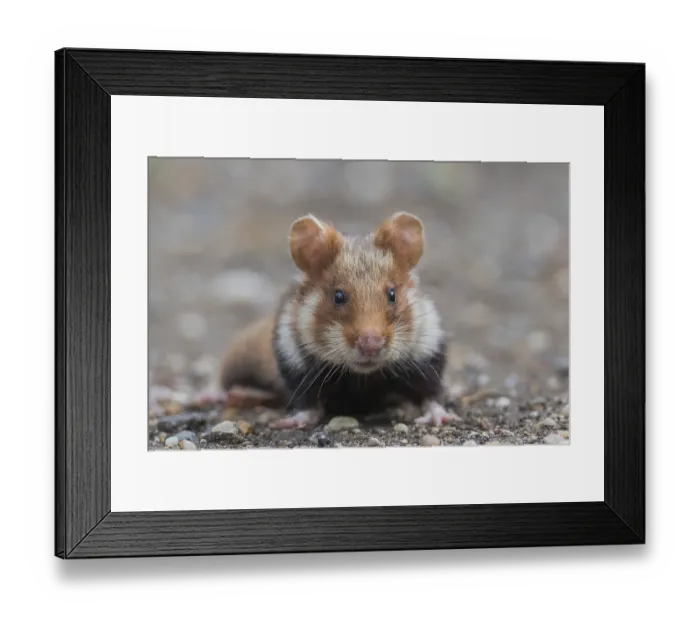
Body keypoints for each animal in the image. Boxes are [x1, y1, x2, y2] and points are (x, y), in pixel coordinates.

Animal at [219, 212, 459, 429]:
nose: (370, 346)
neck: (364, 377)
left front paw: (443, 418)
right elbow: (308, 404)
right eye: (338, 296)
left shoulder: (427, 353)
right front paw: (285, 423)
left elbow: (431, 395)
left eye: (392, 294)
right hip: (243, 353)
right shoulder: (295, 360)